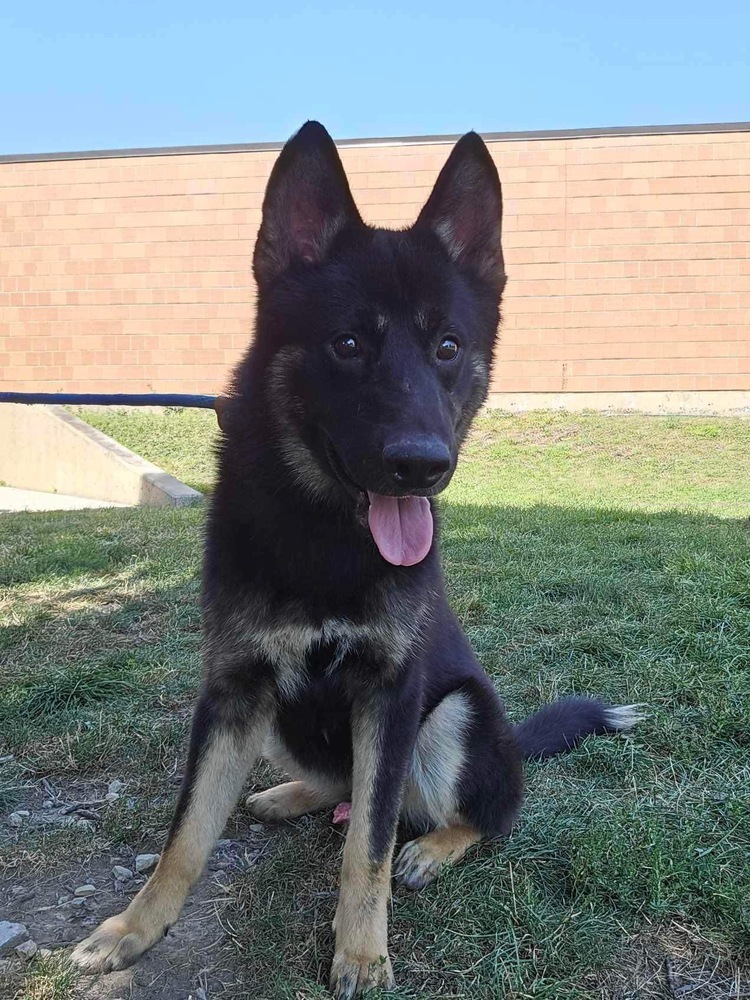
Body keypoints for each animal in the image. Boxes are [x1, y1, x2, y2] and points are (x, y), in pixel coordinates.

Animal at [73, 121, 644, 996]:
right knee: (339, 786)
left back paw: (434, 846)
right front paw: (132, 930)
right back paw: (292, 793)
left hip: (453, 716)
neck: (326, 533)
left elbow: (366, 848)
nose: (423, 465)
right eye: (347, 343)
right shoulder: (232, 692)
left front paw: (363, 952)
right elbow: (185, 836)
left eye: (448, 346)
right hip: (283, 720)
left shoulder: (392, 694)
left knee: (482, 816)